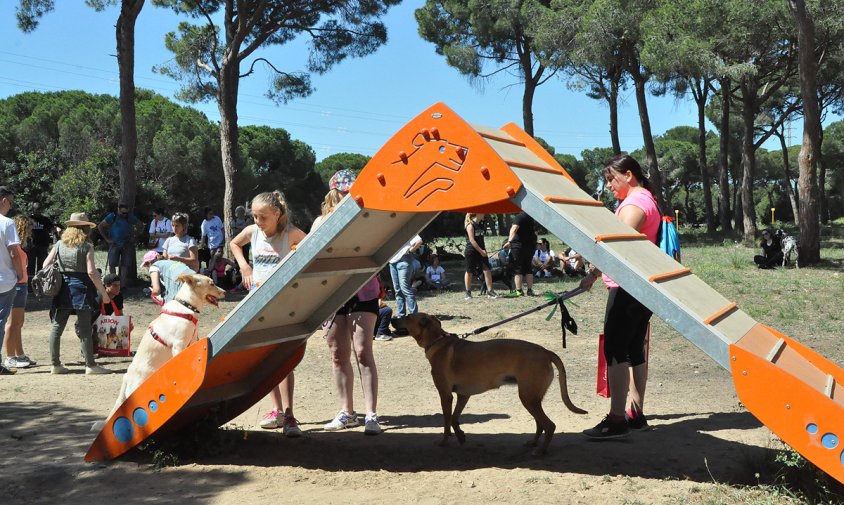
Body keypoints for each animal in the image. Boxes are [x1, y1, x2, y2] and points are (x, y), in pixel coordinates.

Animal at [94, 272, 226, 430]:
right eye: (211, 283)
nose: (225, 292)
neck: (187, 307)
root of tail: (127, 376)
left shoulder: (192, 341)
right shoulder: (178, 345)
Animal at [404, 312, 588, 452]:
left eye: (407, 317)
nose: (396, 318)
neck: (438, 341)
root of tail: (545, 351)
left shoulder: (446, 396)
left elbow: (447, 423)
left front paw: (444, 441)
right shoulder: (463, 395)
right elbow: (455, 418)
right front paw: (461, 436)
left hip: (528, 398)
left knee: (549, 425)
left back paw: (541, 451)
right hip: (533, 399)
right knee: (540, 424)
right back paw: (533, 443)